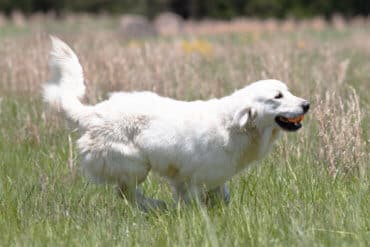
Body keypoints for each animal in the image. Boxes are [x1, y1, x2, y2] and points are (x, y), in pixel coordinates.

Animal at [42, 37, 310, 210]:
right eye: (278, 96)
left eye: (288, 91)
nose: (307, 104)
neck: (234, 127)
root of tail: (92, 113)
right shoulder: (191, 179)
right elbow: (194, 204)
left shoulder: (211, 178)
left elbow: (222, 199)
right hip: (136, 166)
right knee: (126, 194)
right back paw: (157, 207)